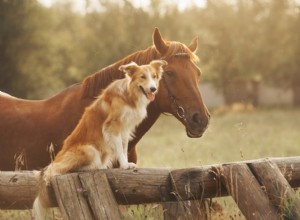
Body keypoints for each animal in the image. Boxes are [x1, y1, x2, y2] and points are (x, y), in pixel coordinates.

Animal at [33, 59, 168, 219]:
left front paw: (126, 163)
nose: (153, 89)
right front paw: (124, 165)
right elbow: (120, 149)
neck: (129, 95)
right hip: (89, 150)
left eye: (154, 76)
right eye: (142, 77)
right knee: (66, 169)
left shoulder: (125, 129)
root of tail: (56, 160)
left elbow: (123, 147)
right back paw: (93, 167)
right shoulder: (113, 126)